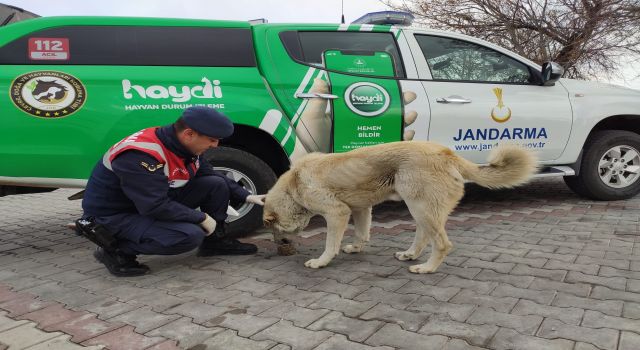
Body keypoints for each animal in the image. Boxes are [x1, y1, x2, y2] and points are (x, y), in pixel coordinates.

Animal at [262, 142, 536, 274]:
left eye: (273, 228)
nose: (280, 247)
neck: (294, 182)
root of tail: (447, 153)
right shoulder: (360, 210)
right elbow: (361, 233)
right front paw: (356, 248)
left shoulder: (337, 213)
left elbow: (331, 245)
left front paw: (321, 262)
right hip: (421, 208)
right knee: (423, 236)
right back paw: (410, 254)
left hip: (420, 208)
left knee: (442, 244)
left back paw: (426, 268)